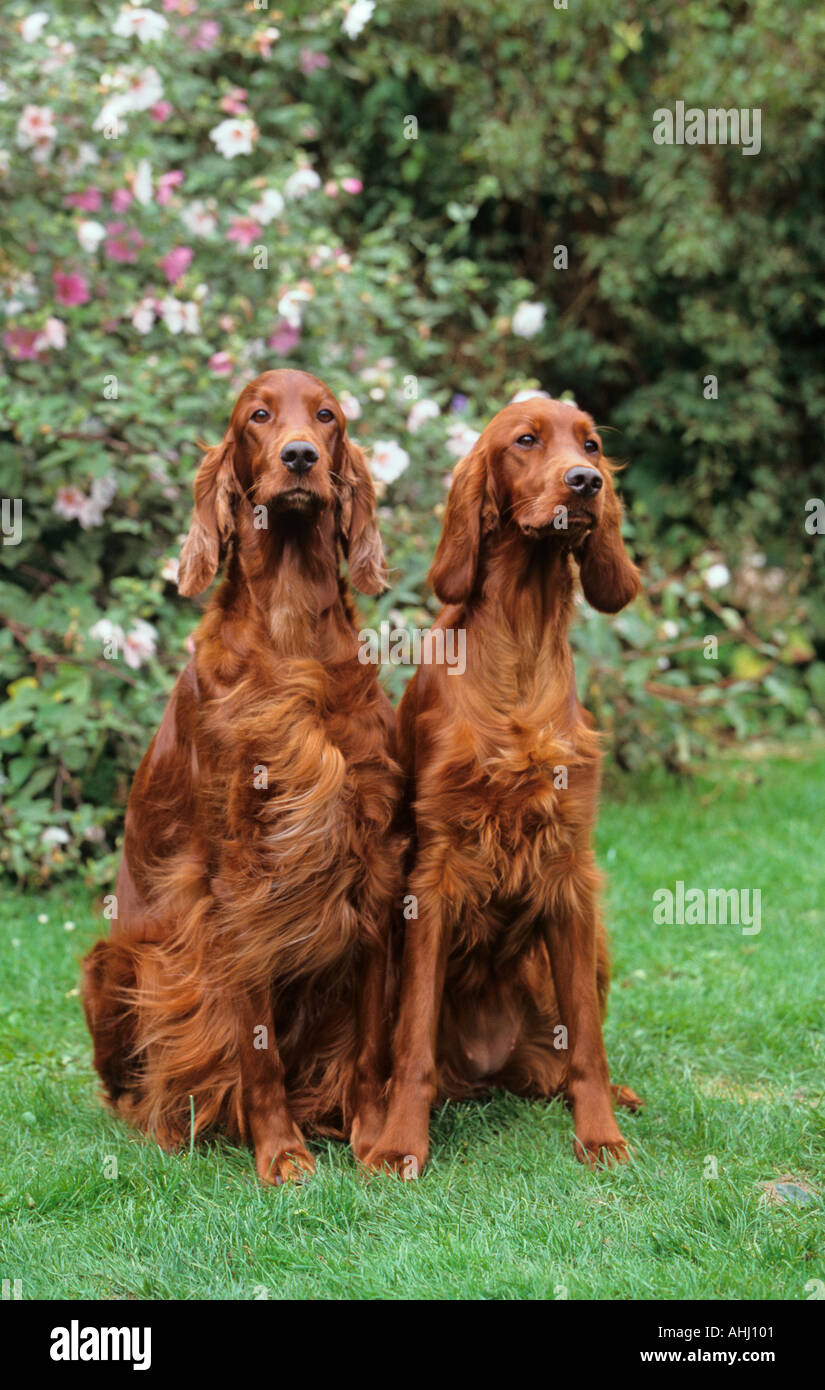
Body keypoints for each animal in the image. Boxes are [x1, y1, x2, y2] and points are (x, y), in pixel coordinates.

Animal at [83, 369, 402, 1184]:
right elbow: (253, 1047)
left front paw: (371, 1138)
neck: (289, 627)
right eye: (258, 415)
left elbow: (370, 1041)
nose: (299, 456)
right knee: (125, 1087)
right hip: (115, 963)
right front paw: (282, 1153)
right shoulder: (237, 878)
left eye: (327, 416)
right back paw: (165, 1123)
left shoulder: (372, 862)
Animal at [363, 397, 641, 1178]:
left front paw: (599, 1134)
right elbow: (414, 1039)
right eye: (525, 441)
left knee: (566, 1056)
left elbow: (587, 1040)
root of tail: (491, 1070)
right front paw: (400, 1143)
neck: (519, 635)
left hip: (594, 939)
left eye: (590, 445)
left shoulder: (570, 870)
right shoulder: (432, 871)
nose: (586, 483)